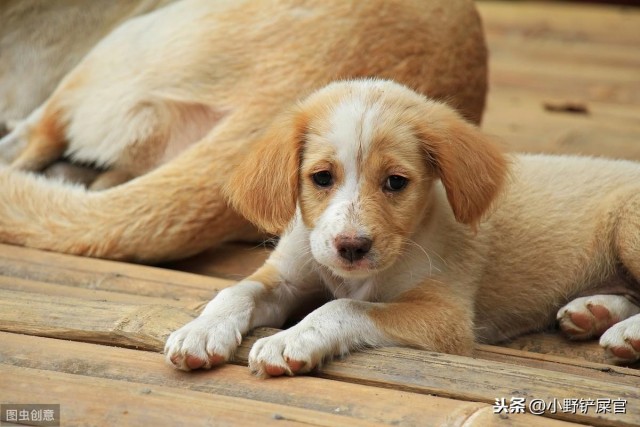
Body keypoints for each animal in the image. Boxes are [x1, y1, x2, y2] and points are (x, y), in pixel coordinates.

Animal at [164, 78, 640, 376]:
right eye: (321, 177)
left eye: (395, 182)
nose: (351, 247)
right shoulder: (288, 274)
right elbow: (236, 290)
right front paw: (199, 331)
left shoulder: (444, 316)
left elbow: (346, 307)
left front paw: (291, 339)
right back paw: (594, 312)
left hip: (629, 229)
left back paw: (625, 332)